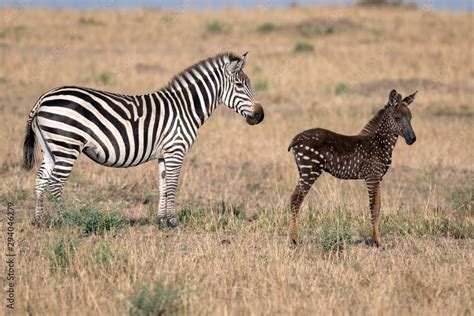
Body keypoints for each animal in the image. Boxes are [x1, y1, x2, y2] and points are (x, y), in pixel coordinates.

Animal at [22, 52, 262, 227]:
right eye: (240, 85)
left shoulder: (165, 155)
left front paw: (161, 220)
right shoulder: (176, 150)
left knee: (41, 179)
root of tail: (43, 98)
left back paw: (39, 221)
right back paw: (70, 219)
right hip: (67, 144)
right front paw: (174, 222)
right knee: (55, 182)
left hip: (51, 147)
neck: (185, 108)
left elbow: (163, 185)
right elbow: (172, 185)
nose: (260, 115)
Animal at [286, 89, 416, 247]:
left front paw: (377, 239)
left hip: (303, 170)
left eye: (411, 118)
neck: (380, 143)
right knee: (296, 199)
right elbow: (373, 207)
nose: (412, 139)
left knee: (295, 198)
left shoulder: (378, 177)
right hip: (310, 170)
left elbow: (379, 206)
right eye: (397, 118)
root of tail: (296, 138)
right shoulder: (372, 176)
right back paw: (294, 239)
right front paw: (378, 242)